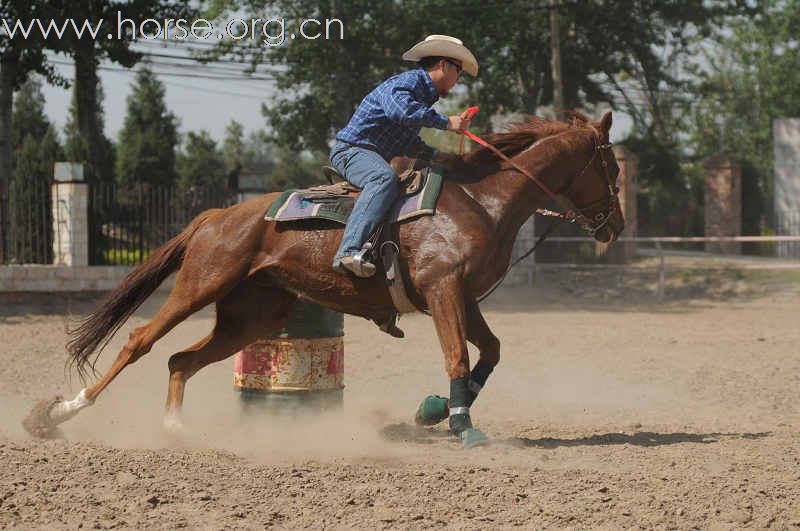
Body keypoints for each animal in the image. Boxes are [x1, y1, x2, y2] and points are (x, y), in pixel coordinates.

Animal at [21, 110, 624, 446]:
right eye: (611, 166)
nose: (615, 225)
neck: (481, 202)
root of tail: (216, 216)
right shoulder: (444, 292)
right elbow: (457, 356)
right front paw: (463, 427)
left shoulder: (464, 298)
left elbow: (491, 352)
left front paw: (433, 412)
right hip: (199, 287)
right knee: (139, 342)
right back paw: (57, 414)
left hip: (251, 316)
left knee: (179, 361)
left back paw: (175, 430)